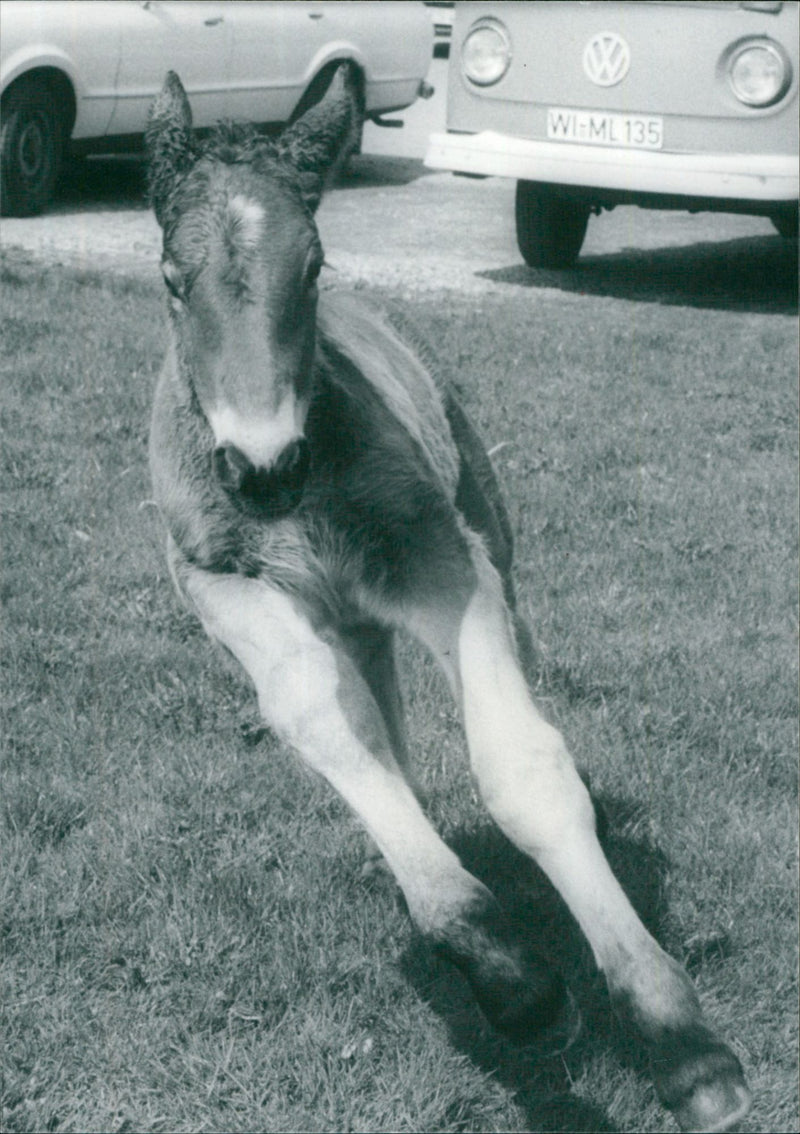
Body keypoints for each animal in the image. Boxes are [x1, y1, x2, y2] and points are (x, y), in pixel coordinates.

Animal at [145, 66, 750, 1133]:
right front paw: (507, 975)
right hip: (341, 614)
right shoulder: (226, 585)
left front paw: (684, 1046)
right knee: (377, 722)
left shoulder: (440, 565)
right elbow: (327, 721)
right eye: (174, 280)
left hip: (484, 528)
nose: (263, 468)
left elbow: (522, 769)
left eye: (312, 267)